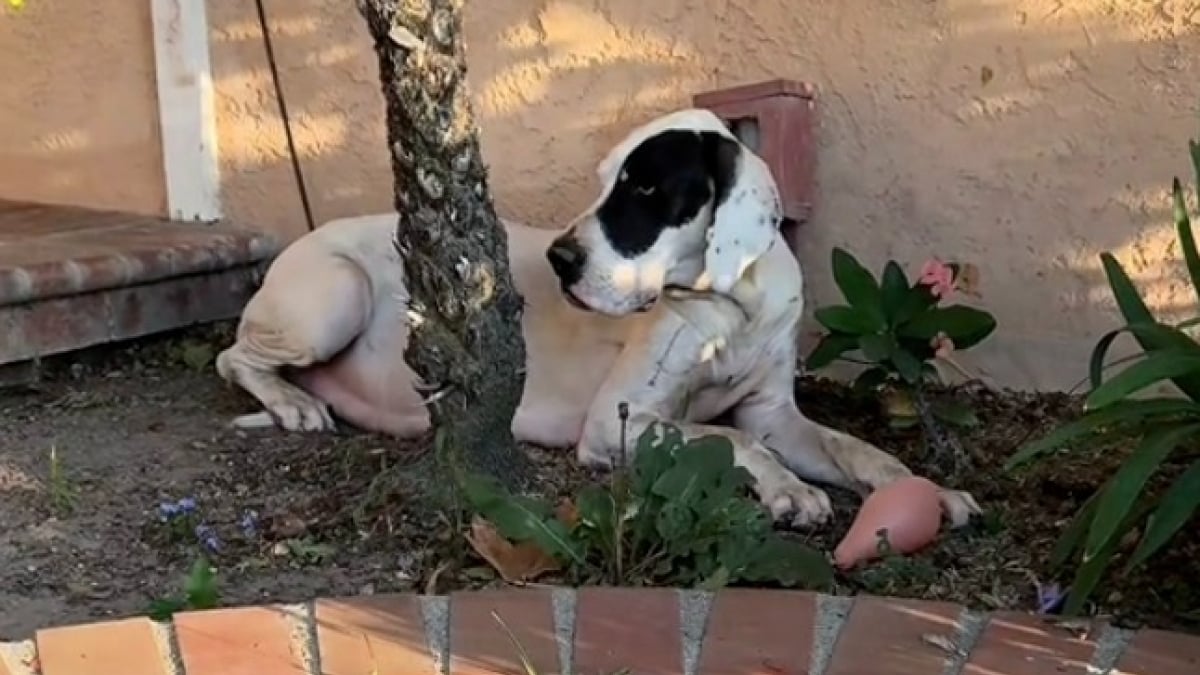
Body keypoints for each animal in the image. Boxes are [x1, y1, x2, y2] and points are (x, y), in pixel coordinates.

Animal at [216, 107, 979, 526]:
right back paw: (291, 402)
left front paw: (927, 489)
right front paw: (790, 490)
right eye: (604, 180)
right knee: (233, 356)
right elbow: (729, 438)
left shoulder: (774, 413)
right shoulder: (621, 423)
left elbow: (854, 447)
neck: (730, 305)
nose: (559, 259)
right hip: (335, 293)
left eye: (644, 187)